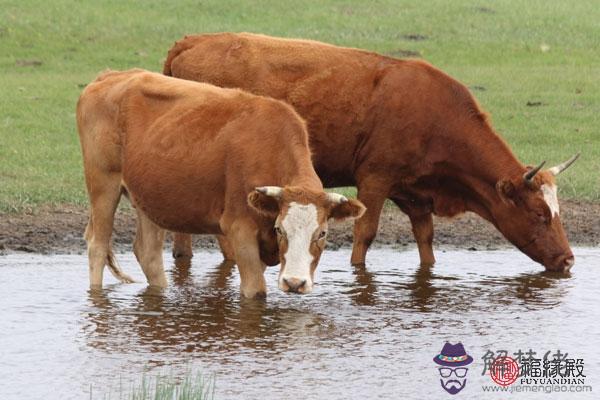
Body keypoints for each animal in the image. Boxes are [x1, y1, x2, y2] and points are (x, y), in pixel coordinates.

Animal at [75, 70, 366, 298]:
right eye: (280, 229)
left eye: (322, 233)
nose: (294, 282)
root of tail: (110, 76)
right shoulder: (240, 229)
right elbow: (255, 292)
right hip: (104, 184)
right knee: (97, 246)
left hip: (147, 197)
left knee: (148, 252)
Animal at [166, 32, 580, 274]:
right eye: (540, 214)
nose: (568, 259)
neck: (436, 115)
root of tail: (191, 41)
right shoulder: (375, 179)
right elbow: (364, 234)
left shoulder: (415, 194)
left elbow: (426, 241)